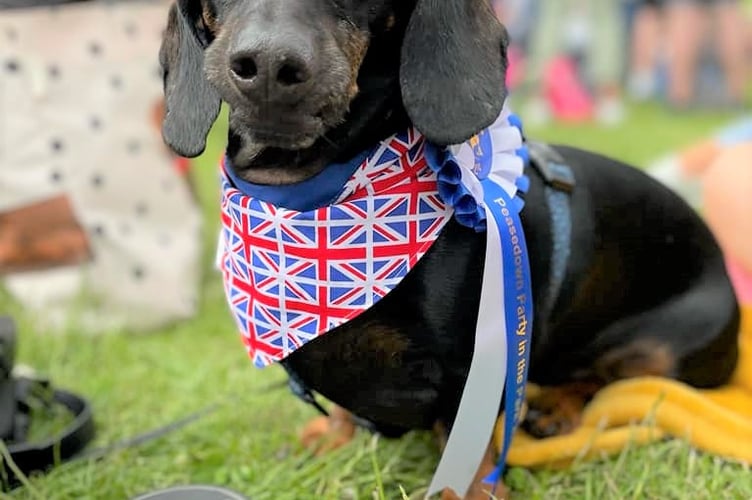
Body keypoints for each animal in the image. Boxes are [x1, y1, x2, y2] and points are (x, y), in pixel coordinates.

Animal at [159, 1, 740, 498]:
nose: (269, 64)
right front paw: (334, 436)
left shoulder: (475, 367)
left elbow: (471, 456)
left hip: (661, 347)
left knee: (606, 379)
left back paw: (558, 408)